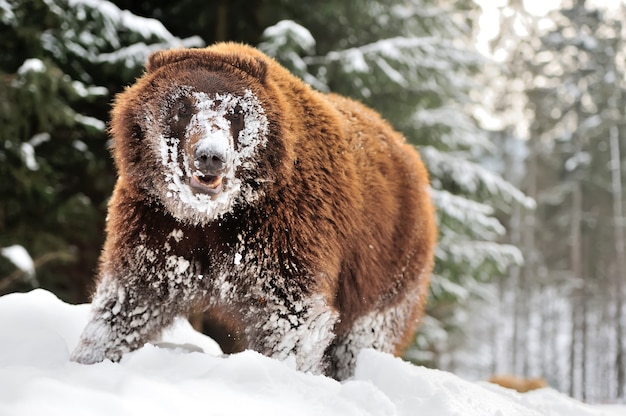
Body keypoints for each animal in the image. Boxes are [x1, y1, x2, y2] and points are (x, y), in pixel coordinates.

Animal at [69, 43, 434, 380]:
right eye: (182, 106)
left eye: (235, 112)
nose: (211, 156)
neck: (212, 216)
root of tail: (407, 150)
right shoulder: (159, 225)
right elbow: (131, 300)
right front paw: (90, 359)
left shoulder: (283, 231)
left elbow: (292, 317)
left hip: (386, 266)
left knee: (364, 338)